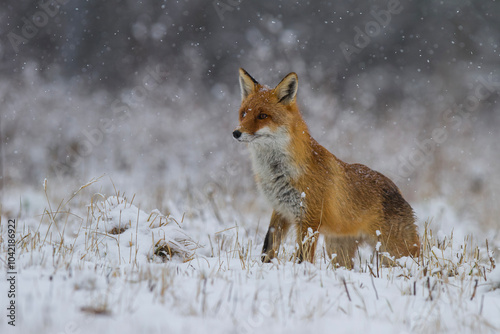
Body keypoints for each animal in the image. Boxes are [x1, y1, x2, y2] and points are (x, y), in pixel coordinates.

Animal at [232, 68, 420, 266]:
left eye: (262, 116)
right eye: (243, 113)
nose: (236, 133)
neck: (277, 173)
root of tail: (397, 189)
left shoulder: (309, 218)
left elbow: (302, 257)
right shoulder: (280, 211)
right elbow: (267, 247)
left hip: (395, 253)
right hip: (338, 252)